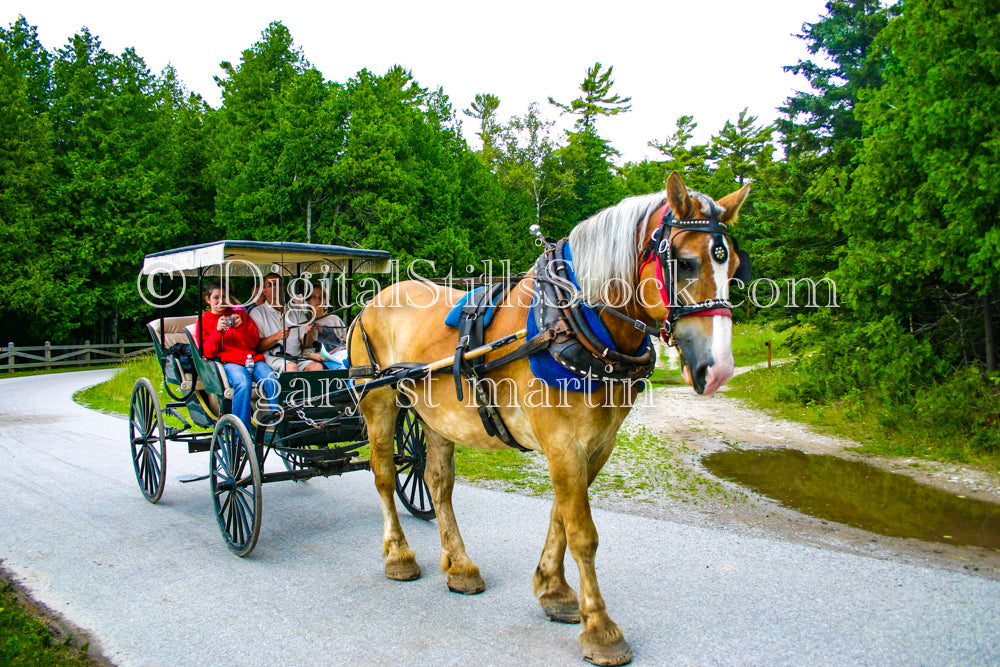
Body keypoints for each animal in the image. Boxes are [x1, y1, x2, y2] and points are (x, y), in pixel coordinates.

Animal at [352, 171, 752, 664]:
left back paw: (460, 567)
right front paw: (600, 628)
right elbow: (583, 532)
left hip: (435, 417)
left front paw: (554, 591)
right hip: (380, 403)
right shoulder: (562, 443)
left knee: (437, 484)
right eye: (685, 262)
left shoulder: (598, 444)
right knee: (385, 476)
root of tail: (375, 299)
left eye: (733, 267)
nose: (718, 369)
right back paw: (399, 556)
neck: (574, 322)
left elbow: (561, 515)